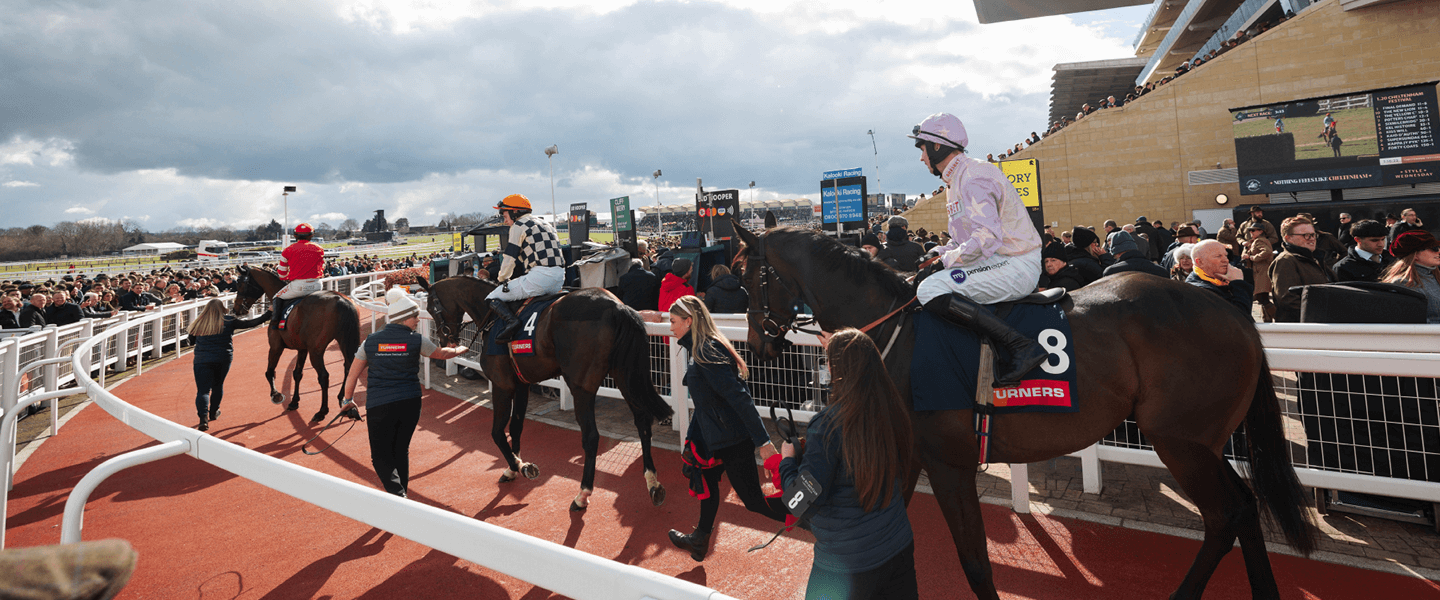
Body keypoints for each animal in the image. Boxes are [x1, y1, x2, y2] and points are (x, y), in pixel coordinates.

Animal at [231, 265, 361, 424]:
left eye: (240, 284)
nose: (236, 309)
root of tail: (341, 300)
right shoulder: (302, 348)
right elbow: (297, 373)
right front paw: (294, 402)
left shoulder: (275, 346)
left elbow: (269, 371)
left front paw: (276, 394)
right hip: (343, 341)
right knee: (349, 367)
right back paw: (343, 401)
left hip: (316, 350)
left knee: (324, 376)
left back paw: (322, 411)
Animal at [413, 275, 673, 511]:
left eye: (431, 307)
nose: (445, 340)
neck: (491, 317)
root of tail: (616, 306)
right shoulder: (521, 384)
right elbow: (516, 426)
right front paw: (512, 467)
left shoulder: (502, 384)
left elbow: (497, 431)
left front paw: (521, 466)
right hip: (624, 375)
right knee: (642, 422)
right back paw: (653, 483)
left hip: (581, 386)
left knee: (591, 436)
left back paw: (582, 495)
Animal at [732, 221, 1316, 600]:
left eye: (744, 278)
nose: (757, 346)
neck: (893, 333)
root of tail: (1232, 314)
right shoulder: (904, 452)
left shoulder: (948, 462)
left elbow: (974, 563)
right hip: (1203, 443)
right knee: (1244, 508)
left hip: (1180, 441)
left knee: (1226, 515)